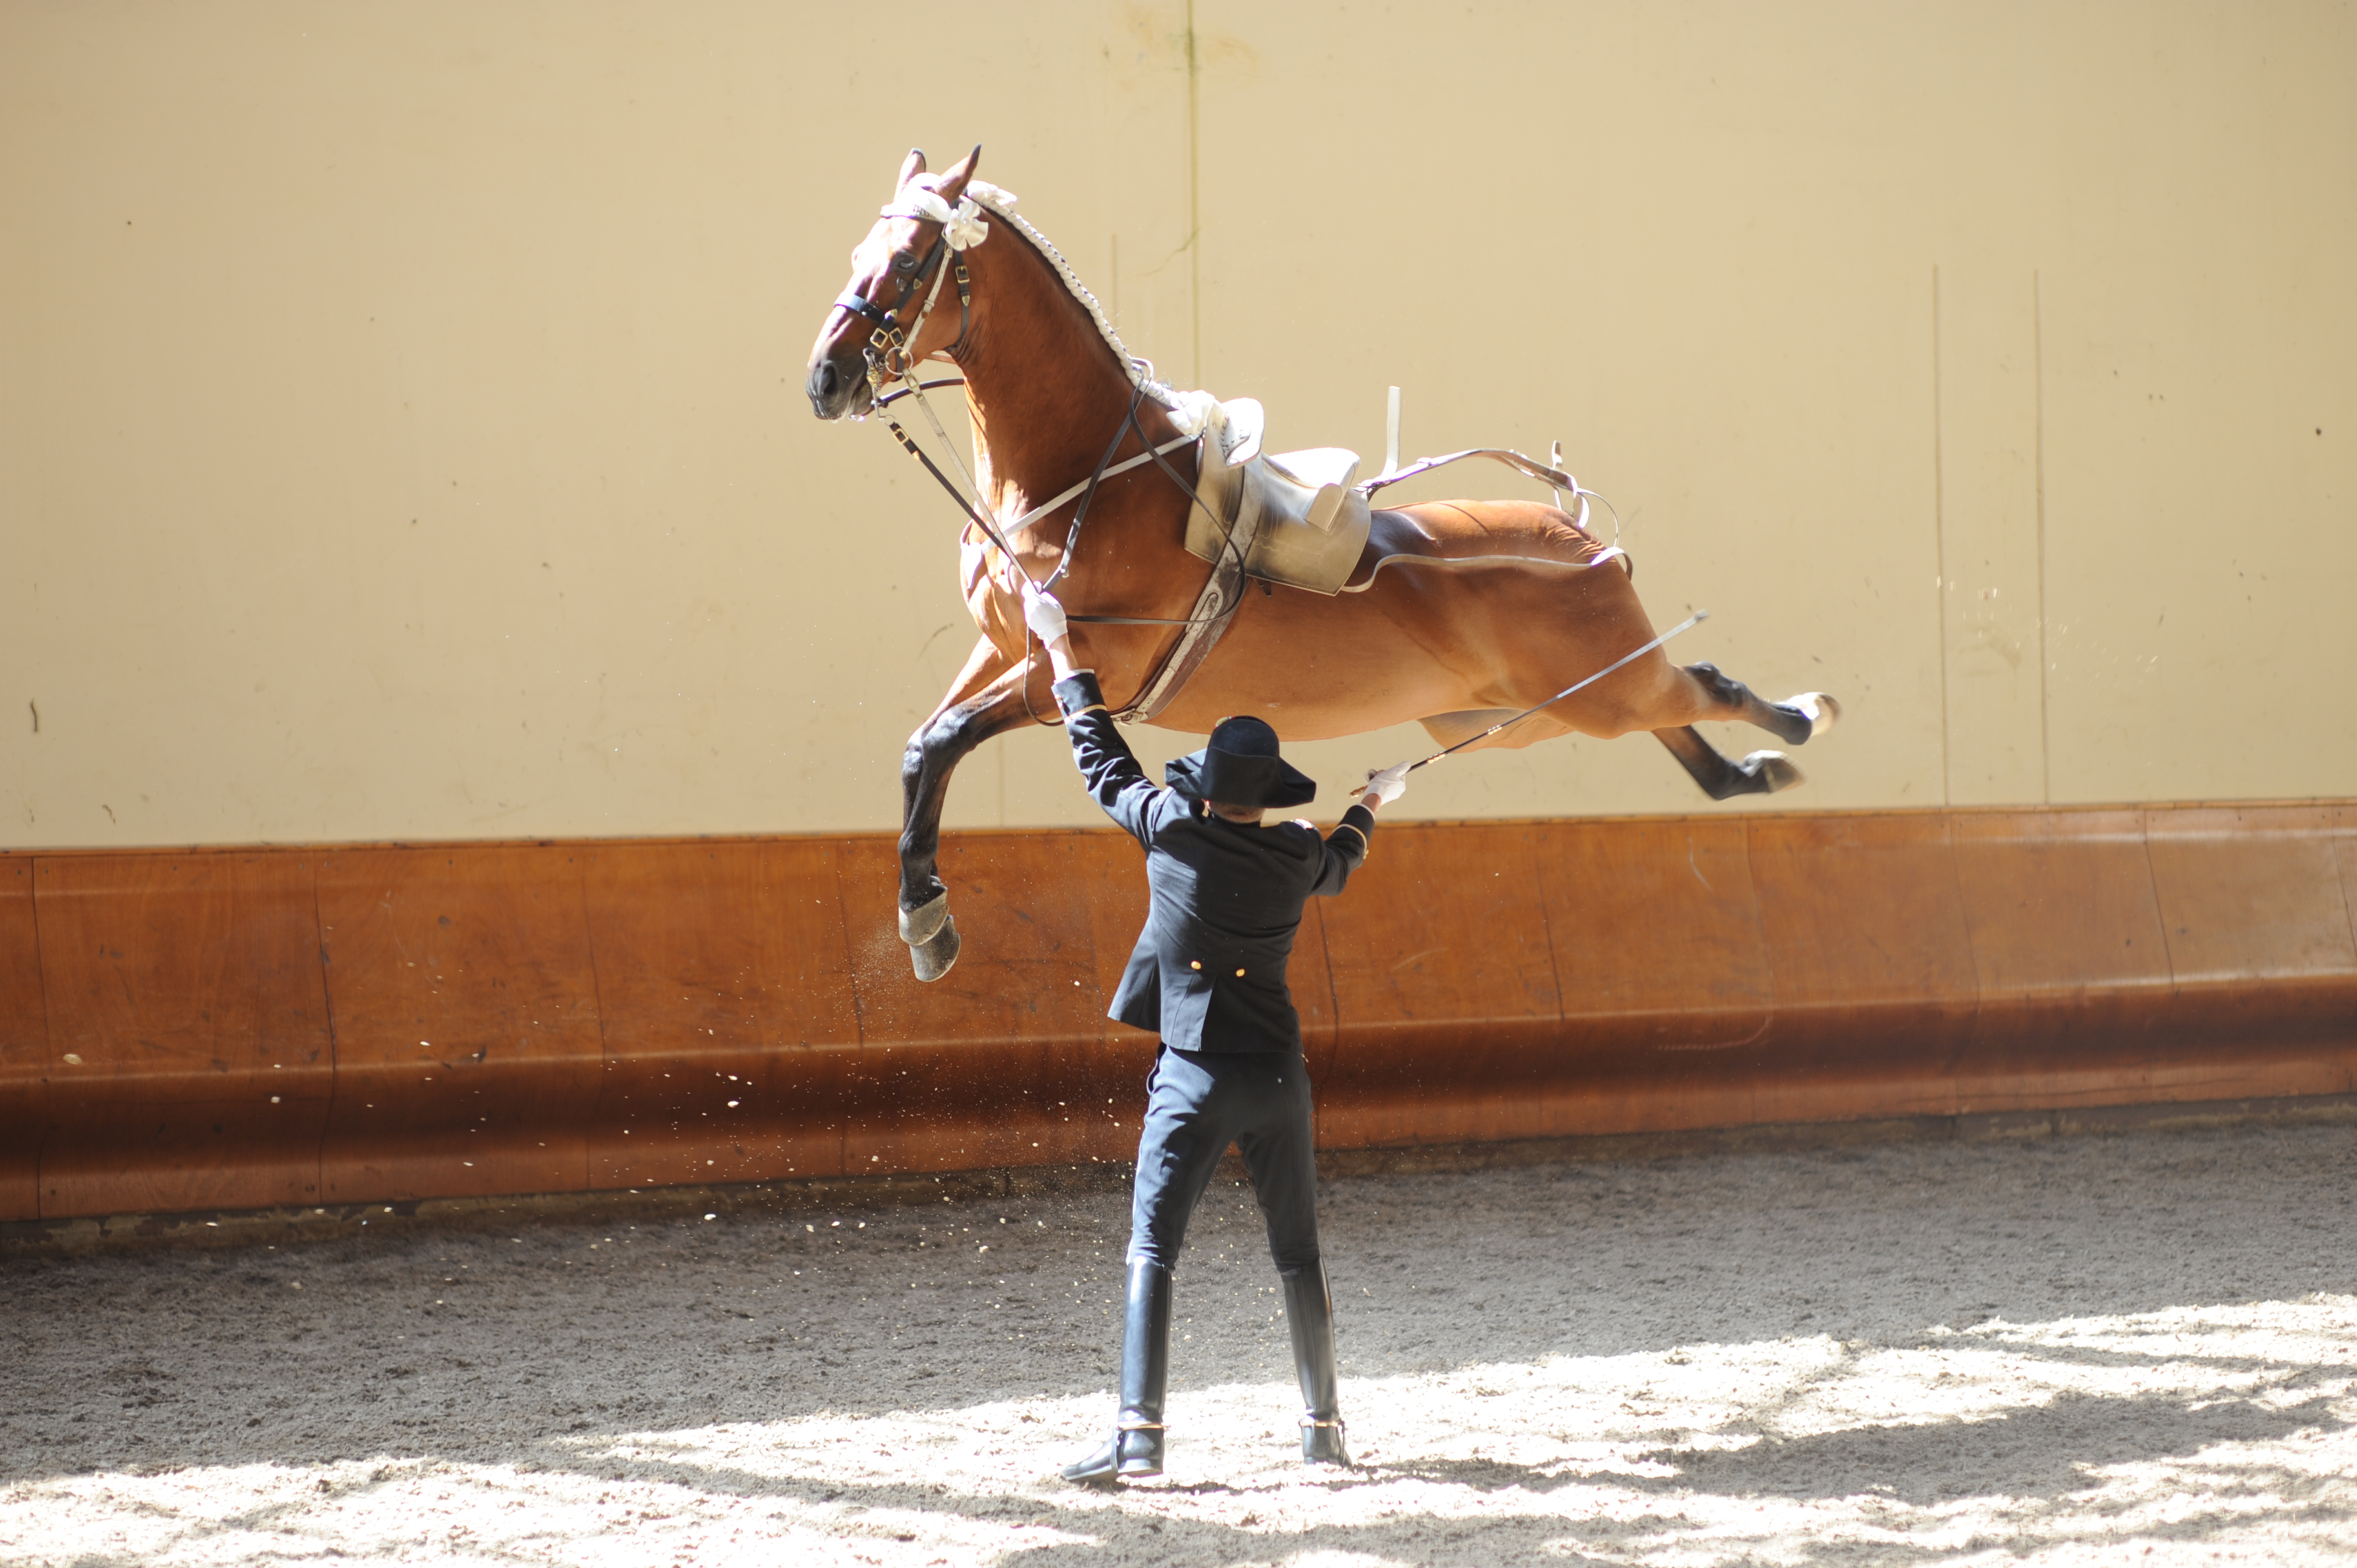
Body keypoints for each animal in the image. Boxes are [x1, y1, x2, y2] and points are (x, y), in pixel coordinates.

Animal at [801, 149, 1829, 981]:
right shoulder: (1006, 649)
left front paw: (928, 926)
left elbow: (941, 743)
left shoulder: (1089, 669)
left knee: (1702, 685)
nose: (826, 379)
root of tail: (1582, 540)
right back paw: (1755, 769)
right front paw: (926, 919)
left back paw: (1799, 721)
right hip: (1525, 717)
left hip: (1602, 693)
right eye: (856, 251)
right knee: (1686, 729)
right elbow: (923, 748)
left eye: (909, 262)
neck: (1077, 476)